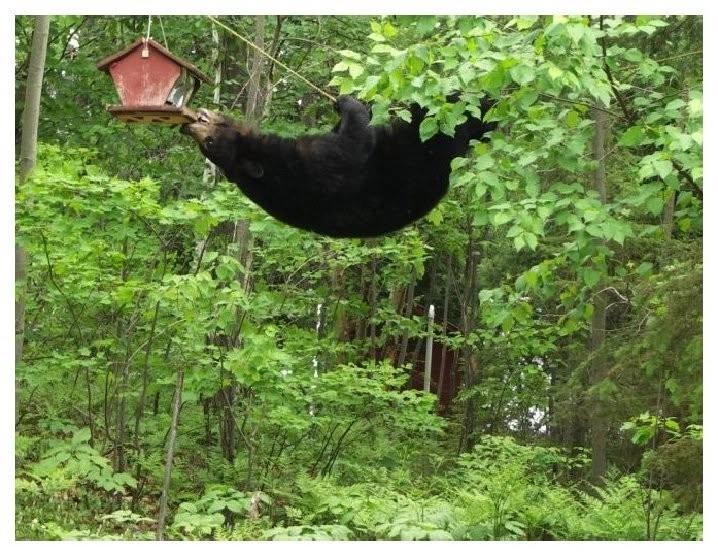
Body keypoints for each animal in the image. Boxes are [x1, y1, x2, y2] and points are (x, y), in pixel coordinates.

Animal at [181, 95, 495, 238]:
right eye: (209, 144)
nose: (190, 126)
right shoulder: (315, 167)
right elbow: (355, 143)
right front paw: (348, 103)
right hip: (430, 146)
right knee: (454, 120)